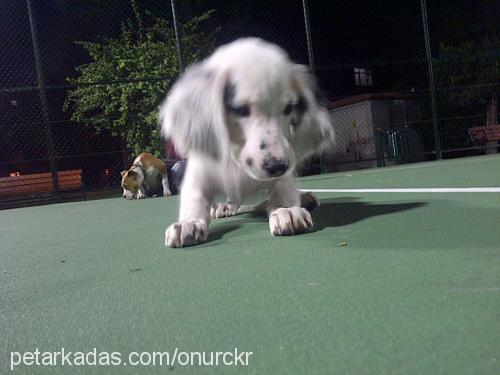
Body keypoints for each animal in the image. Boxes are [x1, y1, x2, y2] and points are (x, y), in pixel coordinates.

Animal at [159, 39, 332, 250]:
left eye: (289, 108)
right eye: (241, 109)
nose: (277, 166)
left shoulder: (284, 172)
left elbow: (281, 191)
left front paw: (286, 210)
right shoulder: (198, 176)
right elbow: (194, 200)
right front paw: (188, 222)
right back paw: (225, 206)